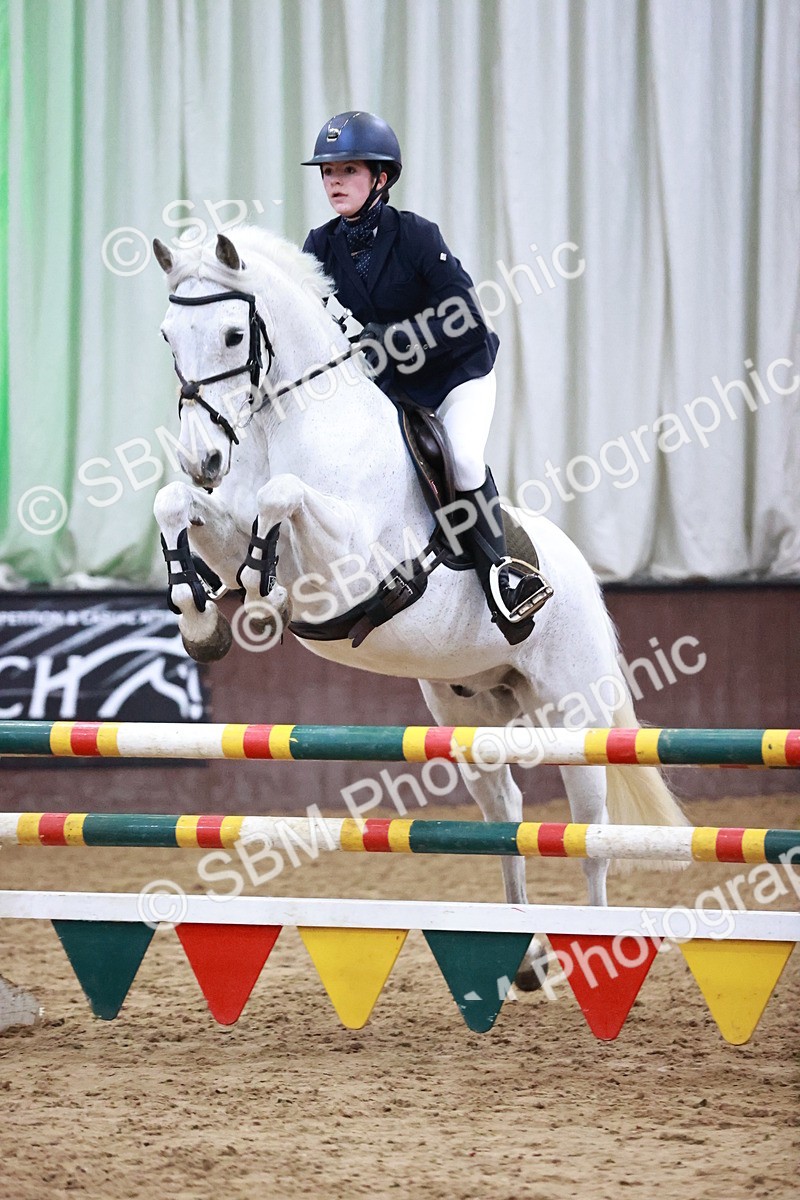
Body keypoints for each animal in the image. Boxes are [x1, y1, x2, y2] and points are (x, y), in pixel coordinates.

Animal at [152, 226, 686, 990]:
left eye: (231, 333)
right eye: (169, 335)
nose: (203, 459)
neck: (292, 424)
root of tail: (583, 575)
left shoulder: (349, 569)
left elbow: (281, 496)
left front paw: (257, 589)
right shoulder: (223, 522)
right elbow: (179, 505)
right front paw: (201, 620)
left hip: (573, 713)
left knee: (589, 826)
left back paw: (597, 953)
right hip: (471, 715)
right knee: (507, 817)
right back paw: (523, 954)